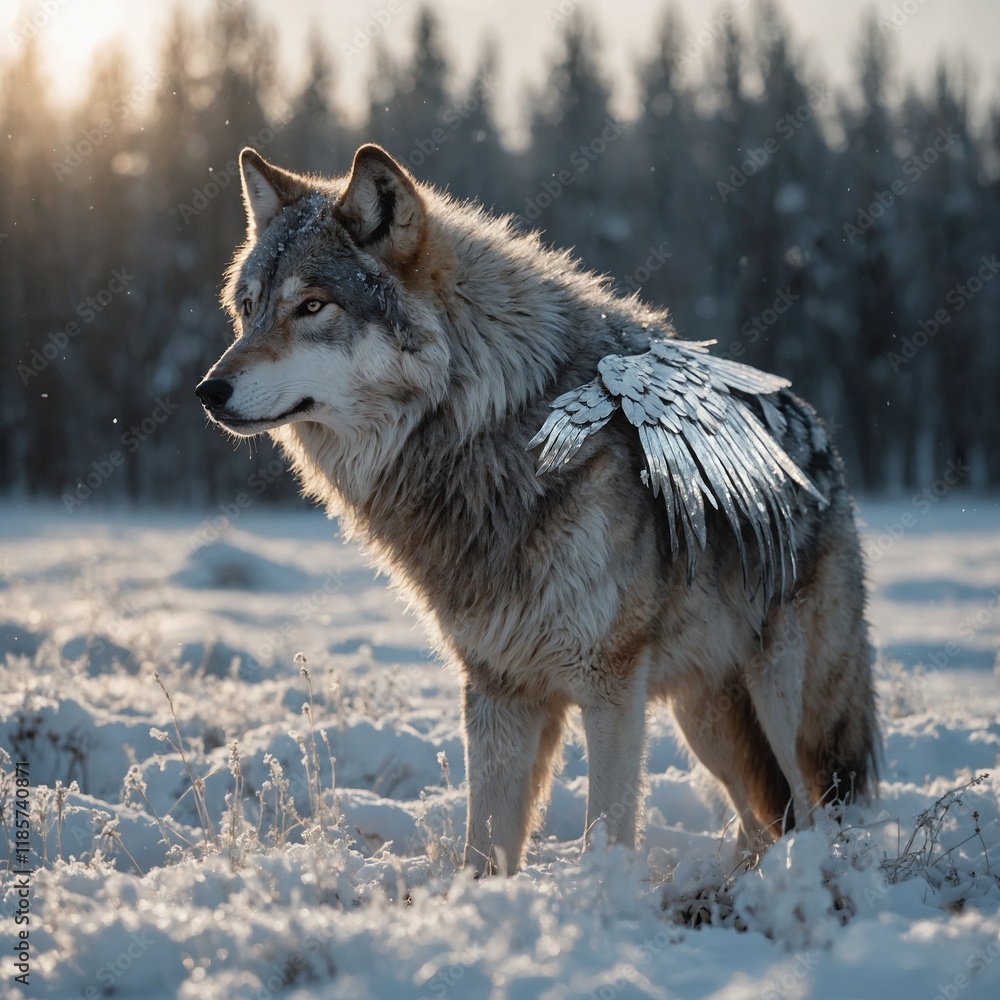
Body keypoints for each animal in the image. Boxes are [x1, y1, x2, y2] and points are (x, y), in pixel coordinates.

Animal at [196, 143, 879, 875]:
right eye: (248, 309)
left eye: (313, 306)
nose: (209, 390)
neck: (493, 424)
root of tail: (820, 440)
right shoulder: (497, 685)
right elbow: (485, 839)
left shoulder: (610, 682)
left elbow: (606, 828)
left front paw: (600, 894)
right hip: (707, 719)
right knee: (761, 821)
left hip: (777, 704)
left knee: (808, 814)